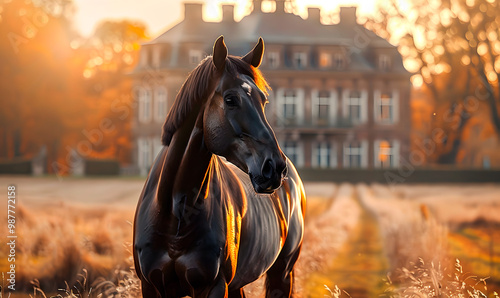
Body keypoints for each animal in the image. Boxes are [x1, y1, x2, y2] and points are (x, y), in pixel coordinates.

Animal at [133, 36, 304, 296]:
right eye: (230, 99)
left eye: (263, 100)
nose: (275, 167)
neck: (175, 214)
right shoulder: (151, 286)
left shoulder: (213, 286)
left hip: (282, 272)